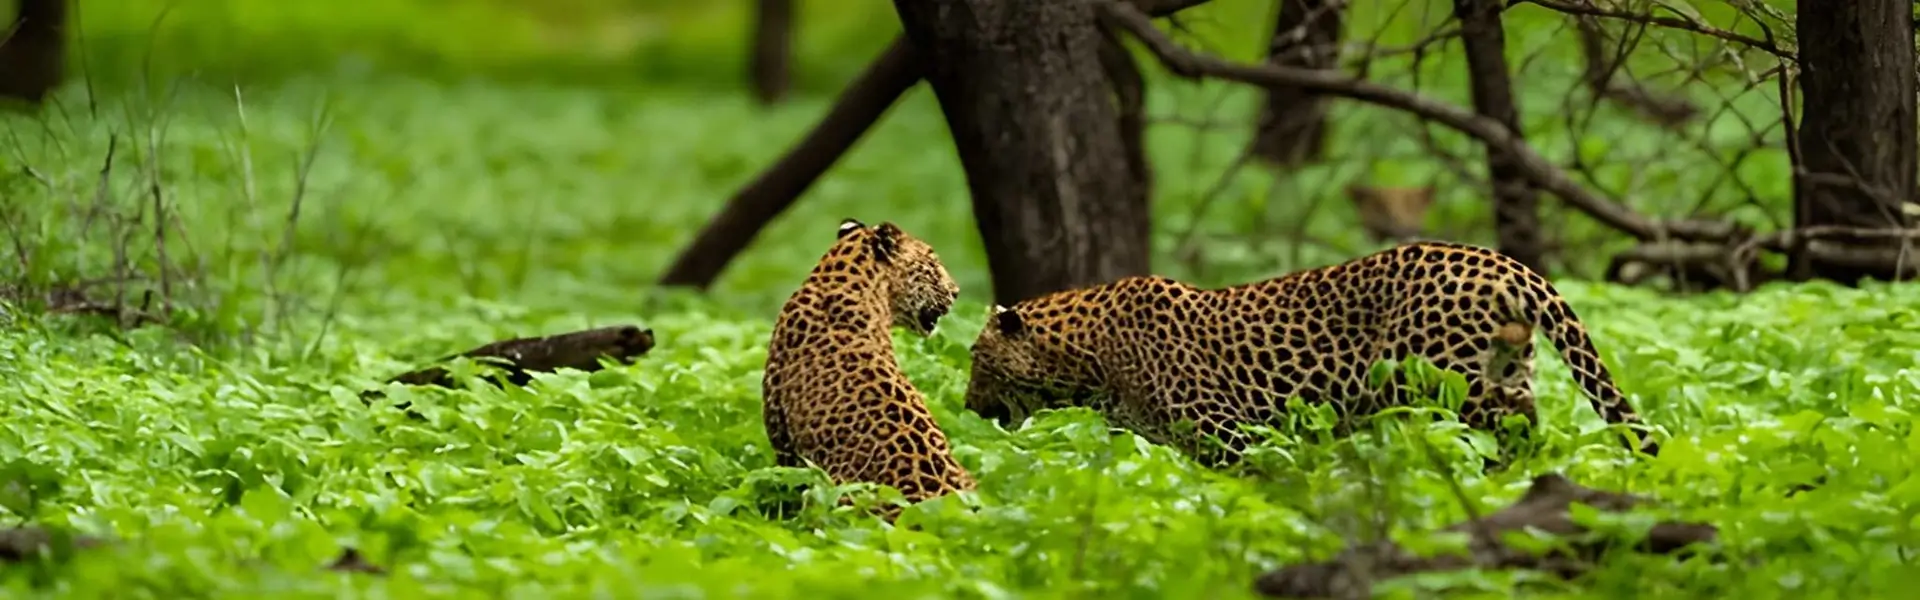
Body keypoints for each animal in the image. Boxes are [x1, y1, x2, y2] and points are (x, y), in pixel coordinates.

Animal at [962, 240, 1660, 468]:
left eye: (977, 361)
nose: (966, 405)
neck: (1086, 358)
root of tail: (1499, 259)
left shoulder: (1227, 430)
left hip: (1449, 387)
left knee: (1503, 438)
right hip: (1504, 376)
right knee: (1525, 435)